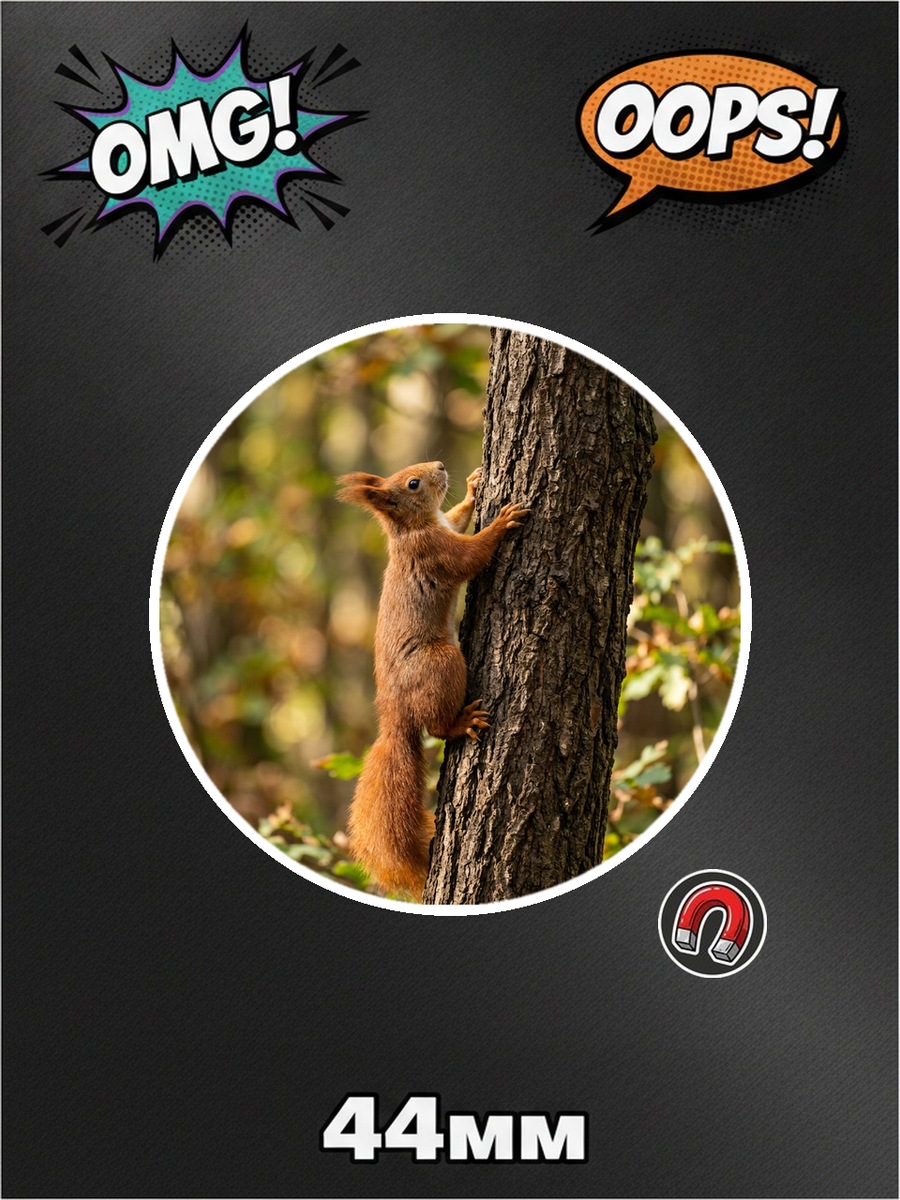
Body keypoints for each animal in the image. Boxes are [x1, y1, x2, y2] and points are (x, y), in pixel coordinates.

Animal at [337, 461, 529, 900]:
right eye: (412, 483)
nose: (440, 465)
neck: (412, 529)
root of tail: (394, 715)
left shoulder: (443, 527)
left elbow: (457, 518)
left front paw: (474, 488)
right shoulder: (436, 552)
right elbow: (471, 555)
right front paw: (503, 521)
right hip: (441, 663)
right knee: (438, 727)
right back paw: (462, 722)